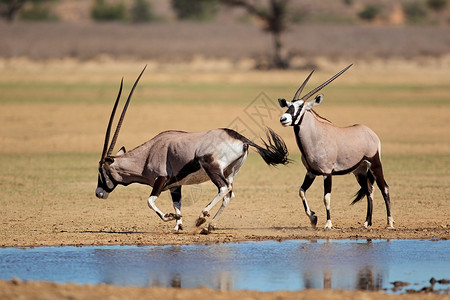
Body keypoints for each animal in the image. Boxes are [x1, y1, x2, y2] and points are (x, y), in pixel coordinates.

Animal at [96, 67, 290, 233]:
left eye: (101, 171)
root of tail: (240, 138)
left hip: (212, 167)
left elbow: (150, 201)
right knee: (229, 194)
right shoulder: (175, 186)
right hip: (230, 171)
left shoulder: (161, 179)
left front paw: (171, 218)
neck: (147, 155)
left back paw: (202, 217)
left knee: (223, 189)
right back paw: (209, 226)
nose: (99, 193)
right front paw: (177, 226)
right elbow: (177, 205)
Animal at [278, 64, 394, 230]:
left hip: (375, 164)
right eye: (288, 105)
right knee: (369, 191)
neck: (316, 136)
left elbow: (326, 198)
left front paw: (328, 223)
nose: (284, 118)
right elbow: (301, 191)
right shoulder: (311, 172)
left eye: (300, 107)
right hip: (360, 171)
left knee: (384, 188)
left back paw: (390, 222)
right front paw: (313, 218)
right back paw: (366, 222)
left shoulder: (327, 173)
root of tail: (371, 133)